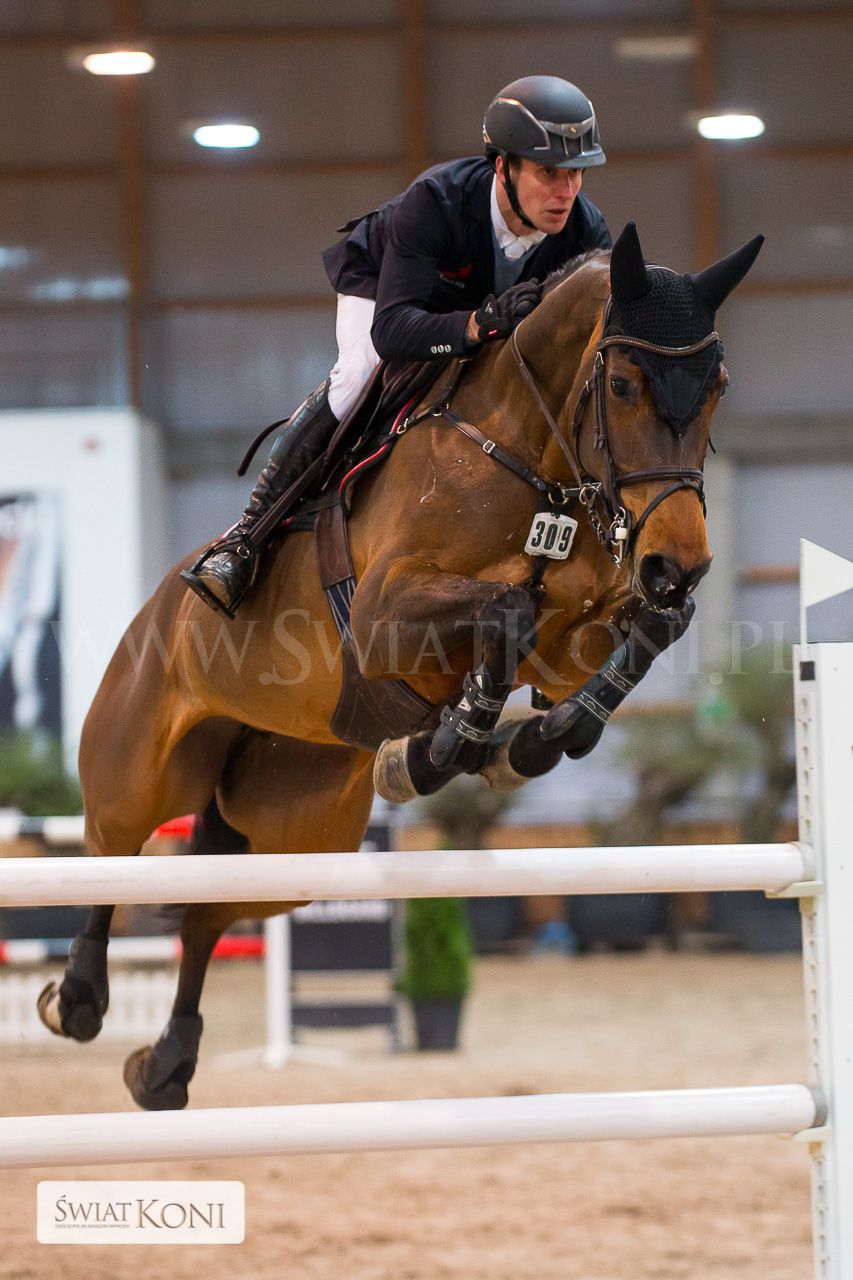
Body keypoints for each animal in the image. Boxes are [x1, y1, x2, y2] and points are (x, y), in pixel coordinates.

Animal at [37, 222, 762, 1109]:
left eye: (717, 386)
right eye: (622, 383)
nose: (674, 566)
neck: (532, 463)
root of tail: (156, 609)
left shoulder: (571, 645)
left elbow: (635, 638)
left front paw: (514, 742)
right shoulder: (383, 615)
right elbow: (505, 610)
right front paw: (457, 741)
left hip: (294, 835)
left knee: (206, 911)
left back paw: (167, 1064)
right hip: (139, 766)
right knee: (109, 855)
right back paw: (78, 997)